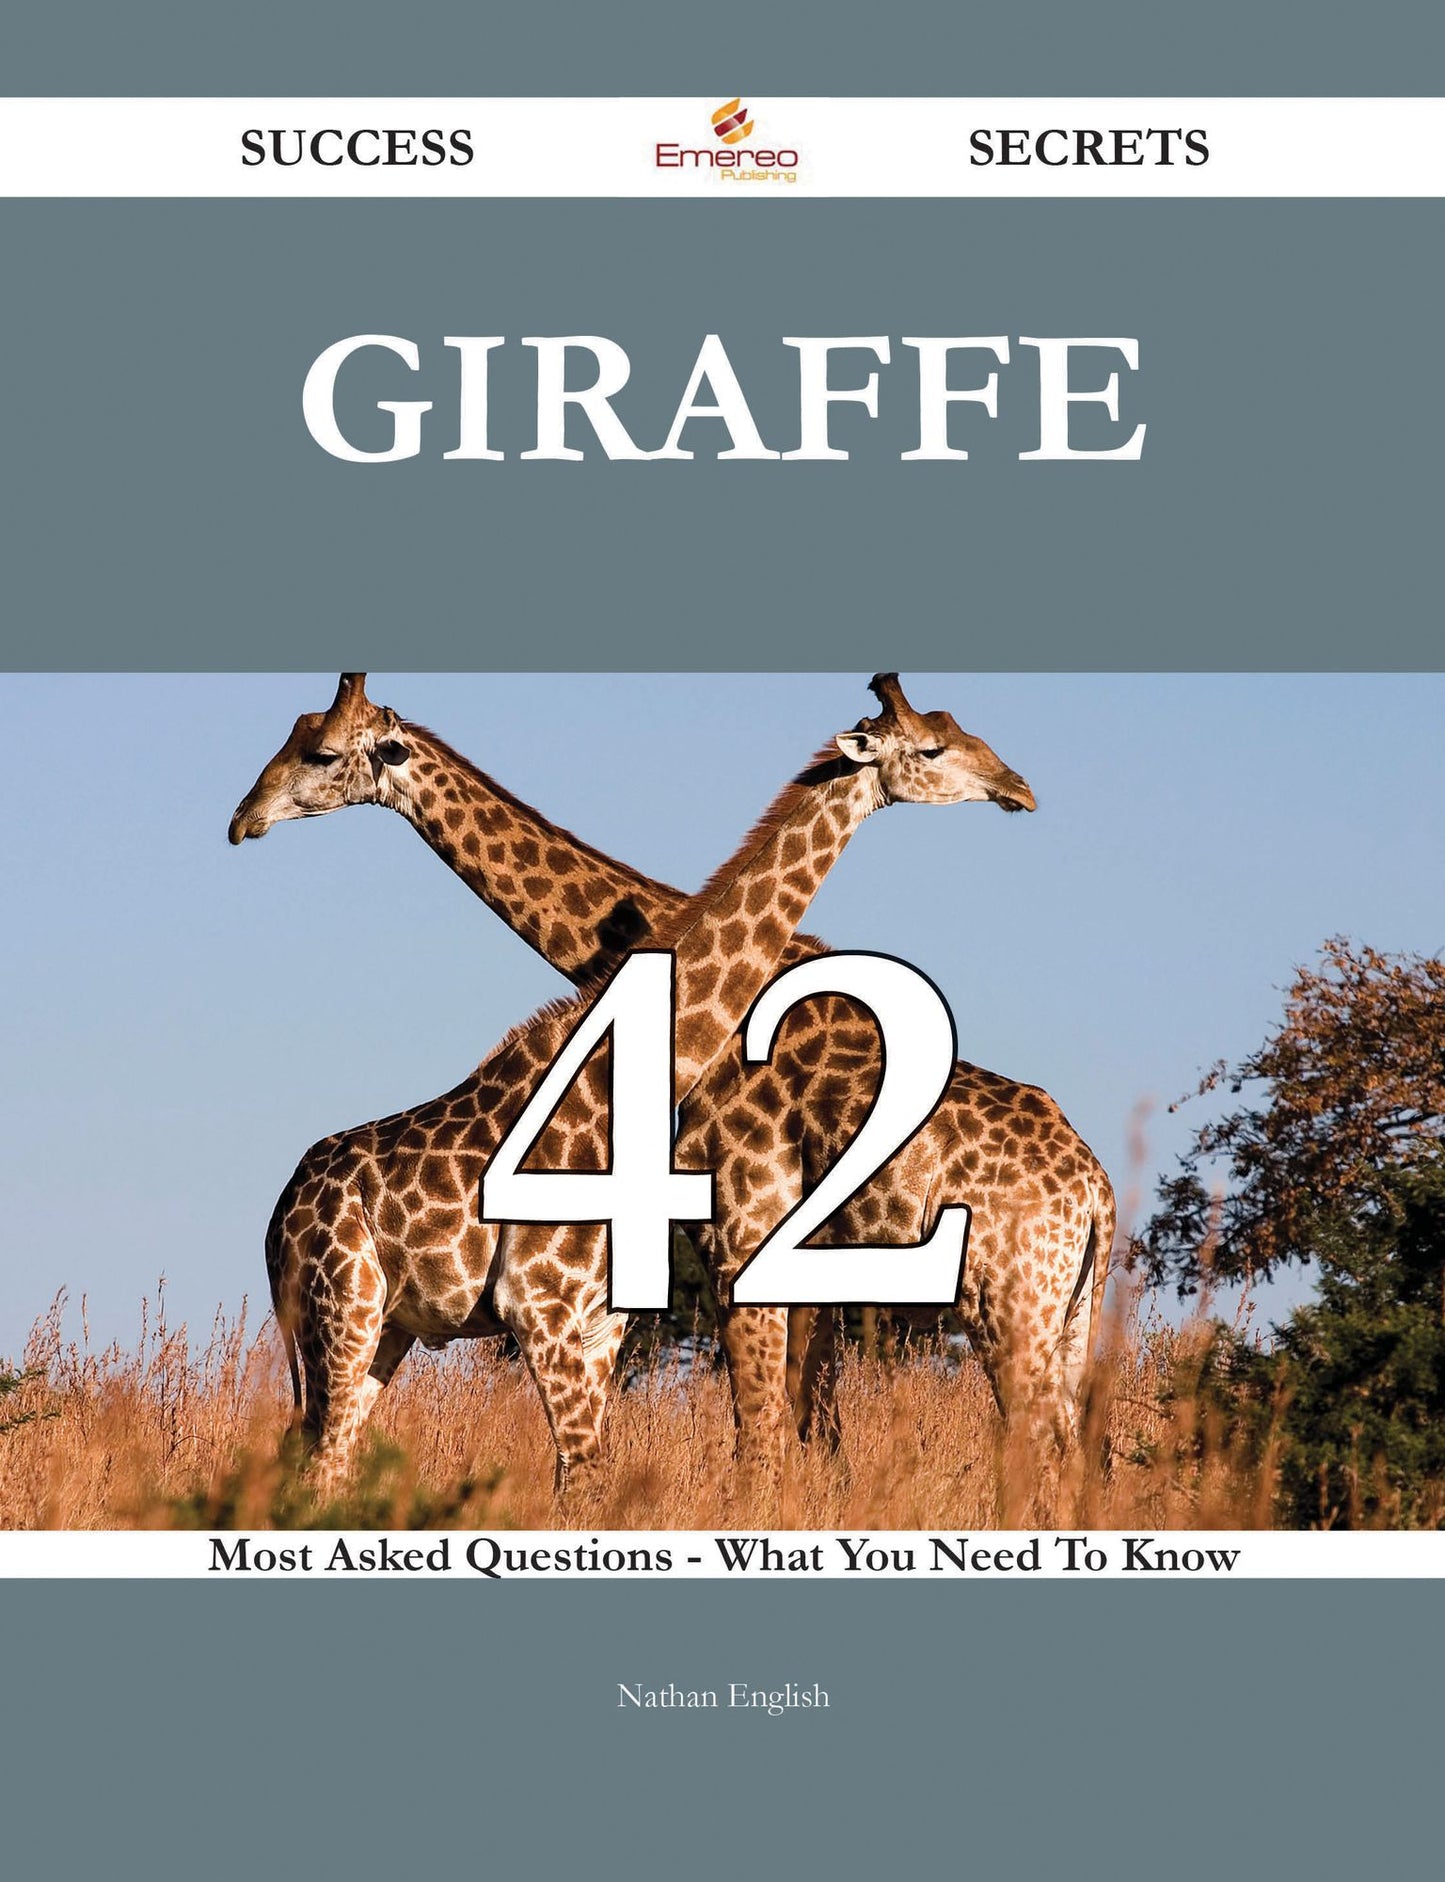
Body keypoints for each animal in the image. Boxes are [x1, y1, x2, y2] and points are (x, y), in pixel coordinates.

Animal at [232, 674, 1113, 1469]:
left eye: (318, 753)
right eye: (936, 743)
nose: (244, 819)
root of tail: (1098, 1195)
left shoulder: (736, 1238)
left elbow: (771, 1438)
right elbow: (791, 1438)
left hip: (1018, 1303)